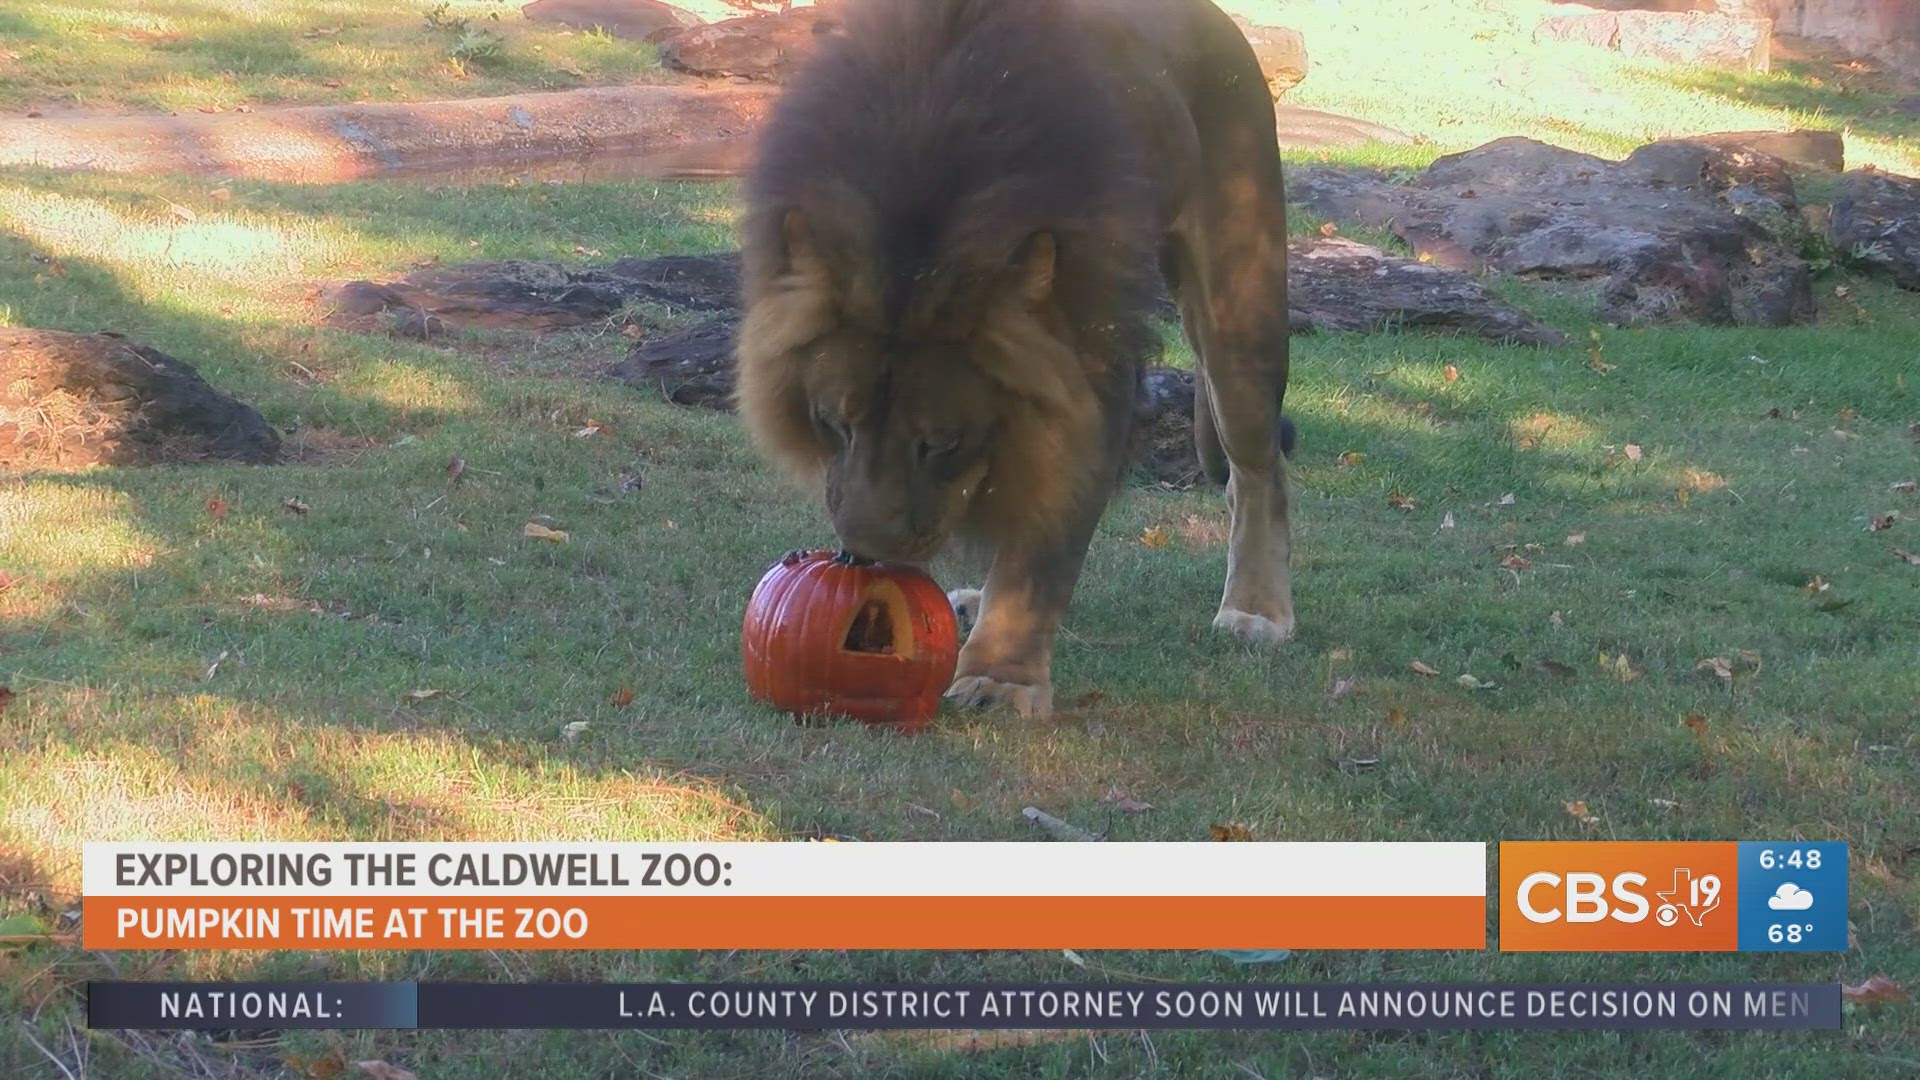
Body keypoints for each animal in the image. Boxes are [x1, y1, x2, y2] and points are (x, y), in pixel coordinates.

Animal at [729, 2, 1290, 722]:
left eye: (942, 442)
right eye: (835, 422)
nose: (865, 555)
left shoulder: (1089, 387)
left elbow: (1039, 554)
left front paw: (1002, 678)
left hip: (1239, 311)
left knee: (1259, 470)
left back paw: (1258, 611)